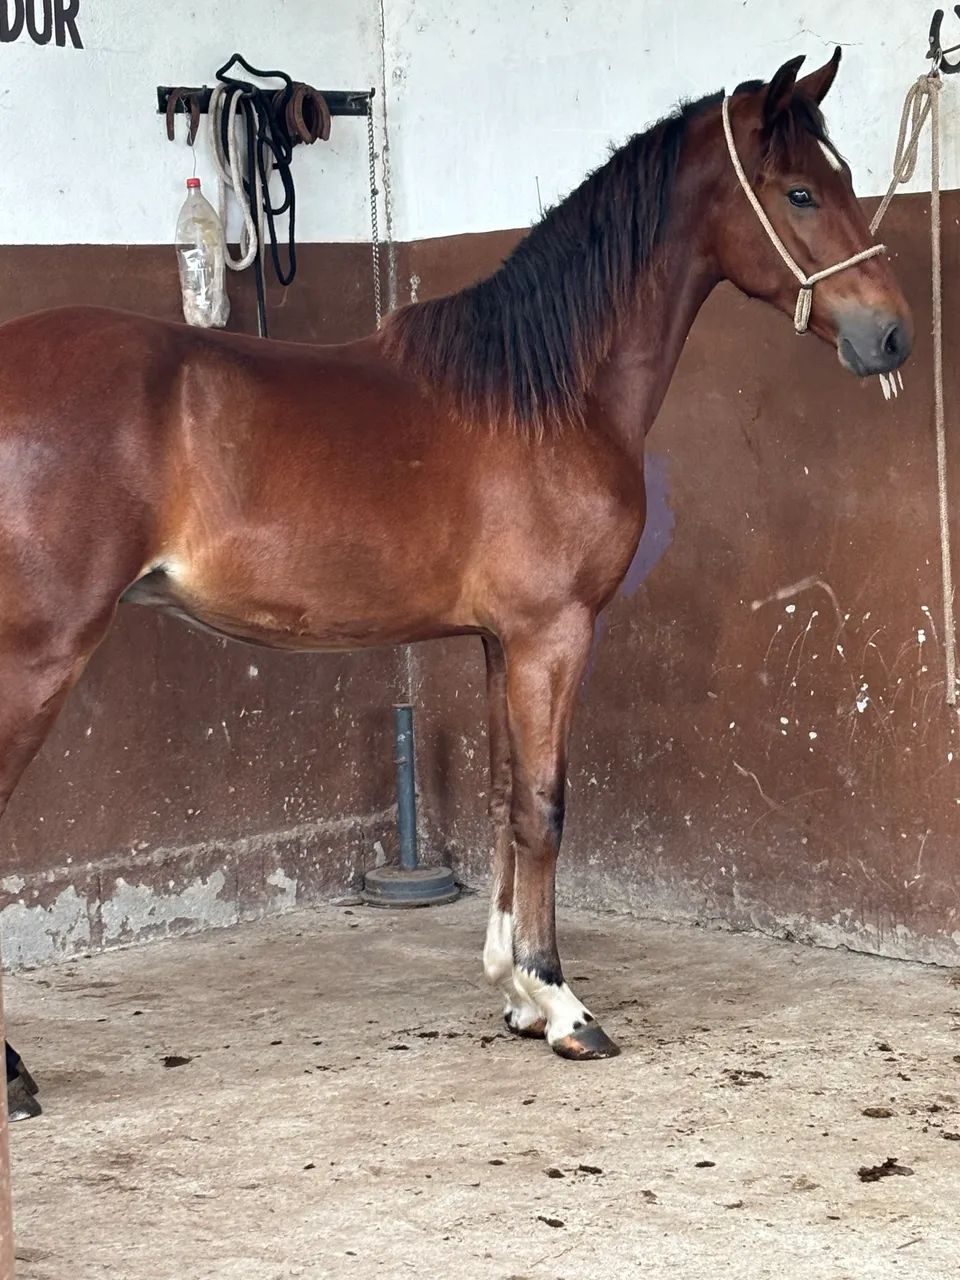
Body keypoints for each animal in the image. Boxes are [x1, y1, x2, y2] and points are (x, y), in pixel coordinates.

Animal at [0, 48, 911, 1068]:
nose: (892, 335)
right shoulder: (553, 635)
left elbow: (502, 791)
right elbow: (544, 806)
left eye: (843, 179)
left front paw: (514, 990)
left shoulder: (497, 641)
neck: (550, 392)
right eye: (799, 191)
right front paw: (561, 1003)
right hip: (36, 658)